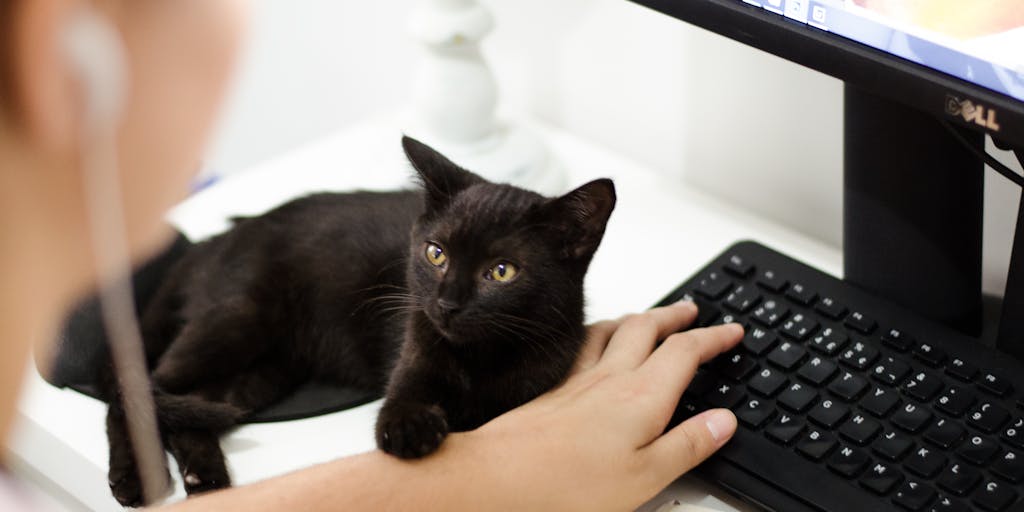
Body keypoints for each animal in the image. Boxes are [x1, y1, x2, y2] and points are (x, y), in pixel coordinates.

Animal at [101, 135, 614, 503]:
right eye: (436, 254)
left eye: (502, 272)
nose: (447, 303)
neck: (481, 359)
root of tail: (215, 240)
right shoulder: (414, 349)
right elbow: (401, 405)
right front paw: (410, 429)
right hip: (237, 318)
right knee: (136, 388)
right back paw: (134, 479)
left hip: (263, 372)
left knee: (188, 405)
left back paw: (205, 477)